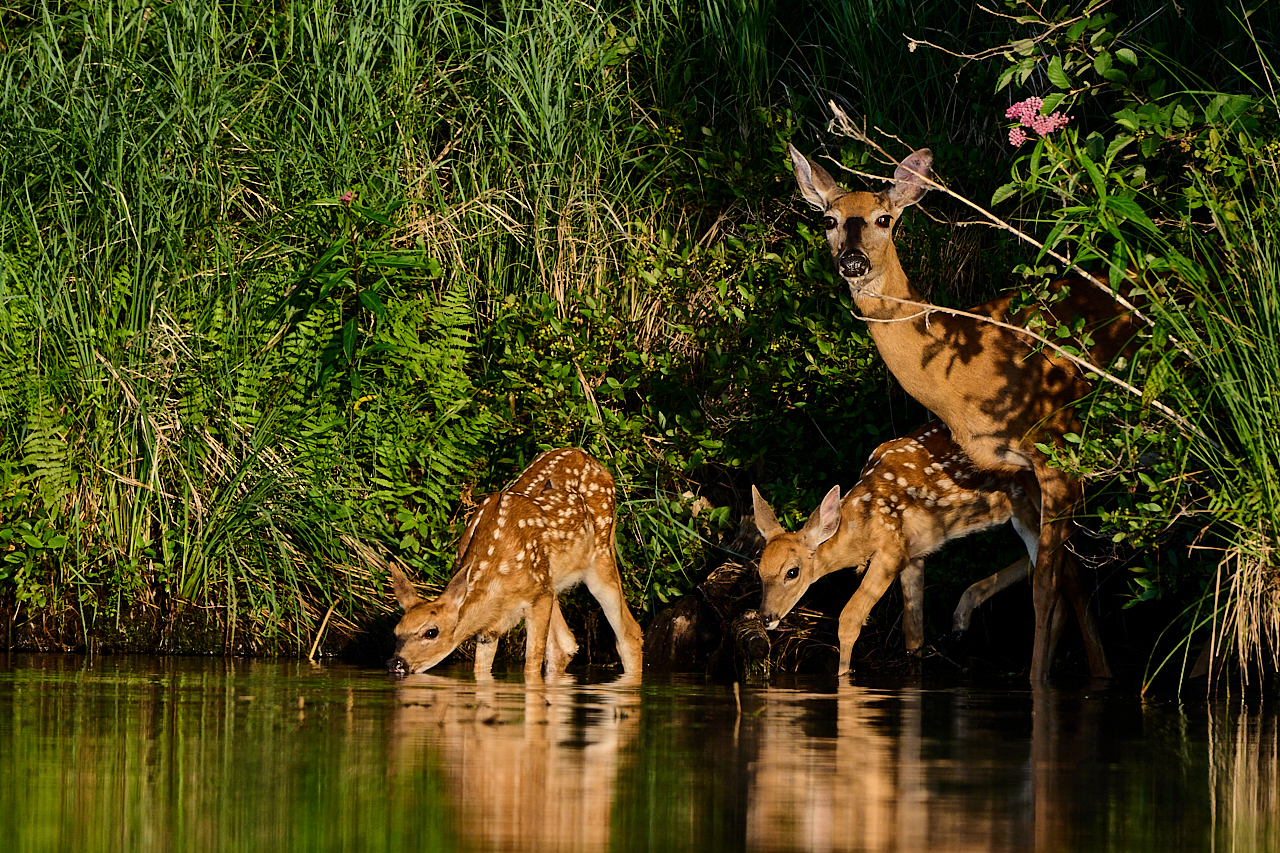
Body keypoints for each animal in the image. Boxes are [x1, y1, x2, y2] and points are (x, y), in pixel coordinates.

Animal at [376, 445, 640, 676]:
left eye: (431, 632)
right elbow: (481, 670)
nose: (395, 663)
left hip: (599, 556)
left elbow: (531, 664)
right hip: (552, 580)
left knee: (629, 633)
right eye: (396, 631)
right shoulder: (491, 628)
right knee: (564, 645)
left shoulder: (538, 596)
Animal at [752, 417, 1044, 671]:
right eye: (759, 571)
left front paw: (843, 678)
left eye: (792, 572)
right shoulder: (913, 554)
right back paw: (961, 619)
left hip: (1023, 502)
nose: (766, 617)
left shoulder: (891, 551)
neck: (865, 520)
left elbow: (849, 618)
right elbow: (913, 634)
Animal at [788, 144, 1141, 676]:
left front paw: (1038, 684)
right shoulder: (1020, 470)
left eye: (884, 218)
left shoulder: (1056, 448)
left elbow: (1045, 587)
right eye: (829, 219)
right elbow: (1068, 579)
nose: (853, 260)